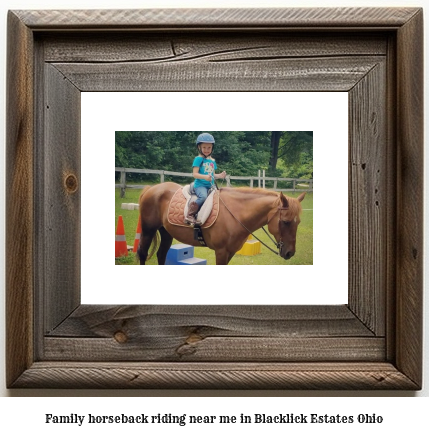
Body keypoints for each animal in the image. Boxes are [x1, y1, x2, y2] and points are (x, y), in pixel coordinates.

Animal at [137, 181, 304, 266]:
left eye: (298, 222)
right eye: (286, 222)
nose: (290, 253)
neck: (236, 213)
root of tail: (151, 188)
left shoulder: (230, 252)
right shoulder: (221, 251)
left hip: (166, 232)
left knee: (161, 255)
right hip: (148, 230)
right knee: (143, 253)